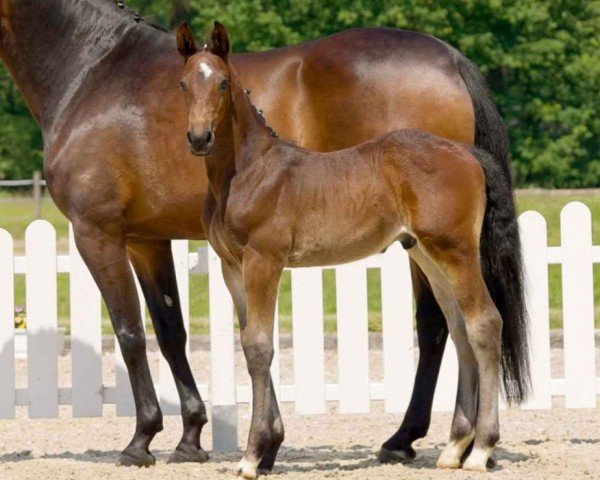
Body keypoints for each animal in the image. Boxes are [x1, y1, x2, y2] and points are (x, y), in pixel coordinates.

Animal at [178, 24, 516, 478]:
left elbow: (260, 347)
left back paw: (480, 449)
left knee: (485, 323)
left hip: (456, 251)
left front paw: (252, 456)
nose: (199, 138)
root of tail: (466, 153)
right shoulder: (232, 267)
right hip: (428, 255)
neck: (248, 172)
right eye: (183, 84)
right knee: (460, 327)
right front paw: (266, 449)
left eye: (223, 83)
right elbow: (251, 345)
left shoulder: (264, 262)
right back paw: (453, 448)